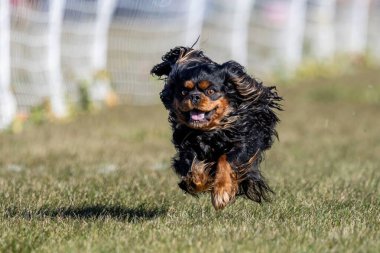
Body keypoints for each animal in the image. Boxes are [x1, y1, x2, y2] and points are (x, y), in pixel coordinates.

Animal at [151, 46, 282, 210]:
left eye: (211, 91)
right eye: (183, 92)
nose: (194, 96)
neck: (210, 132)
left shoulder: (243, 145)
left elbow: (225, 160)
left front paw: (221, 192)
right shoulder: (187, 149)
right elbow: (193, 168)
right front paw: (202, 180)